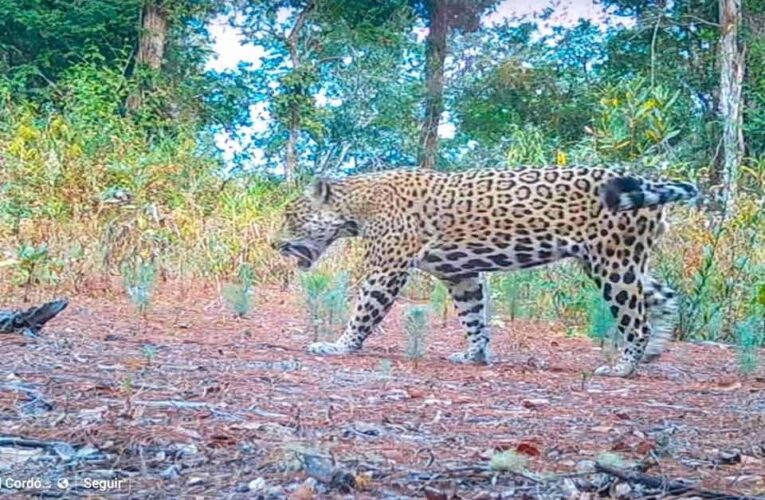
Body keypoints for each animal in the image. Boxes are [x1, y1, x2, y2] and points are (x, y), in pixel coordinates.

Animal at [273, 166, 698, 377]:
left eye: (291, 216)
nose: (275, 244)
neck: (356, 205)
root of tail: (649, 179)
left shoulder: (386, 269)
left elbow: (363, 311)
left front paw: (339, 346)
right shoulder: (460, 274)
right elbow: (474, 317)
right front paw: (475, 356)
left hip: (612, 263)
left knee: (635, 318)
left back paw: (622, 367)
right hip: (623, 261)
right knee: (664, 296)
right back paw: (652, 352)